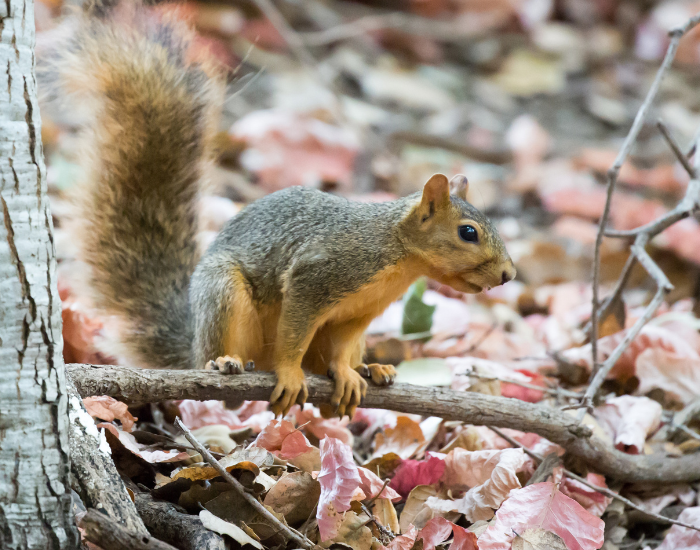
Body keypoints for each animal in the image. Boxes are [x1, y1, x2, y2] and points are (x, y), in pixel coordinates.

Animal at [52, 1, 516, 418]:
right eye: (469, 232)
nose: (509, 275)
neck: (395, 251)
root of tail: (192, 343)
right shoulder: (317, 276)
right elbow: (293, 332)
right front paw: (291, 373)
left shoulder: (356, 316)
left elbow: (340, 350)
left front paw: (346, 372)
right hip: (224, 296)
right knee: (219, 362)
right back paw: (225, 363)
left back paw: (372, 369)